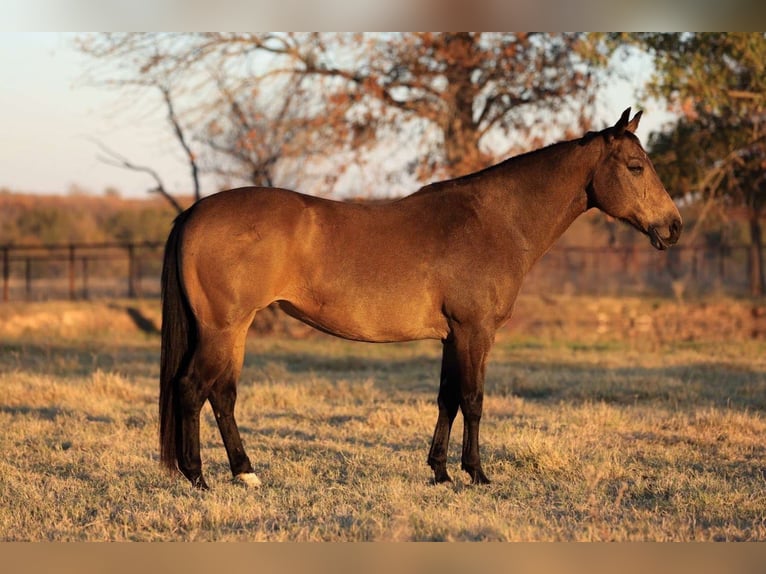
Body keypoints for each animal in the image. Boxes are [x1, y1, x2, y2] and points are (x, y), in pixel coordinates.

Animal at [160, 108, 684, 490]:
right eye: (636, 167)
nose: (674, 226)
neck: (495, 221)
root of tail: (195, 211)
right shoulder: (475, 332)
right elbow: (473, 400)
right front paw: (477, 474)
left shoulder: (453, 337)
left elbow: (446, 400)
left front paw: (440, 471)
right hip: (223, 328)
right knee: (192, 388)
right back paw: (199, 478)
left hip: (235, 329)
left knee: (222, 395)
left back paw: (244, 473)